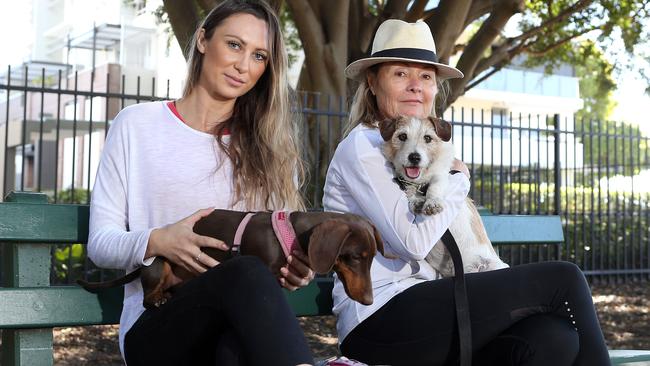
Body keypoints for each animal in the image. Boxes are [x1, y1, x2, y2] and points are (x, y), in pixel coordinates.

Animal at [378, 116, 508, 276]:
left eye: (428, 138)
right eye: (402, 136)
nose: (414, 157)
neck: (420, 183)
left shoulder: (441, 176)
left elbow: (435, 185)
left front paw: (432, 202)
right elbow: (409, 192)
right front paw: (416, 201)